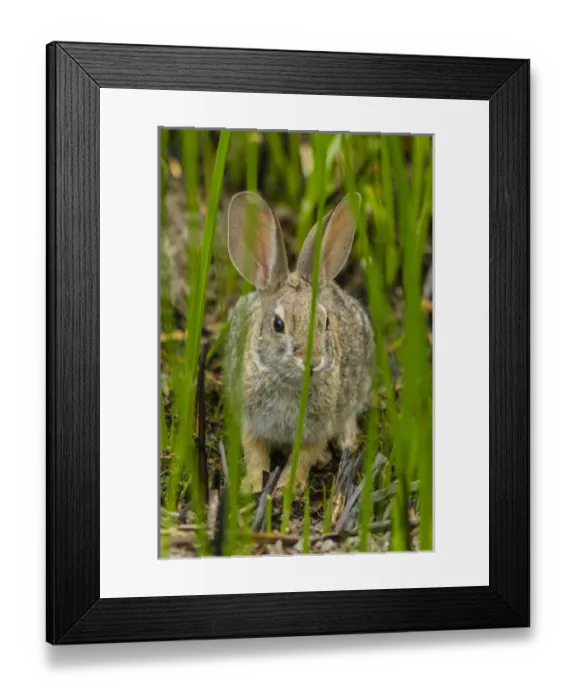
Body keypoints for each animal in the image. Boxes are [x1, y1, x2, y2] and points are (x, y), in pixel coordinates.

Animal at [224, 191, 374, 497]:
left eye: (326, 323)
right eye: (278, 325)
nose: (313, 362)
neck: (286, 382)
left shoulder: (317, 428)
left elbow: (303, 456)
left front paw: (287, 488)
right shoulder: (252, 422)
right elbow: (255, 453)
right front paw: (254, 485)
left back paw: (345, 443)